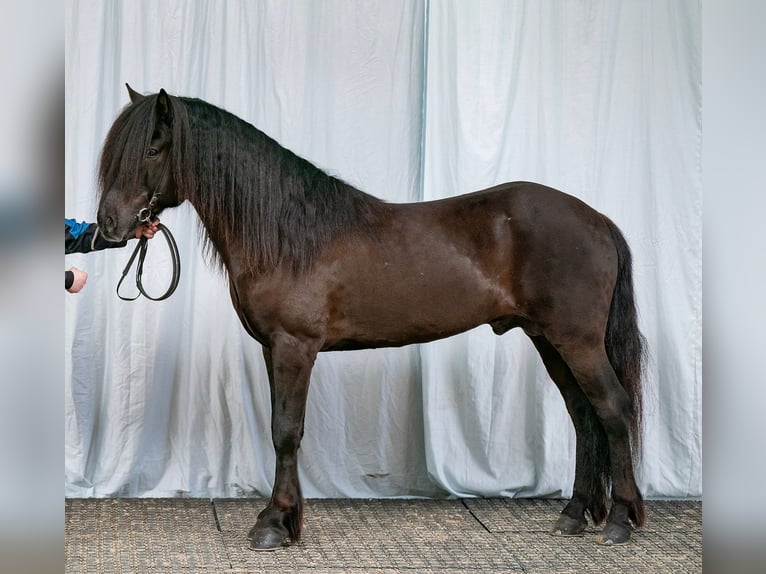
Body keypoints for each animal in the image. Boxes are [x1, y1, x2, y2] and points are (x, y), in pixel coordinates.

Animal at [96, 85, 647, 550]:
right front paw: (283, 520)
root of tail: (598, 220)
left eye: (152, 150)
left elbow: (285, 431)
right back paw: (573, 516)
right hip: (549, 341)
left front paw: (274, 526)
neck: (287, 234)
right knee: (583, 416)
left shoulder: (295, 346)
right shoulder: (273, 349)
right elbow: (282, 430)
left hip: (577, 341)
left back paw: (621, 520)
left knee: (613, 409)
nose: (108, 226)